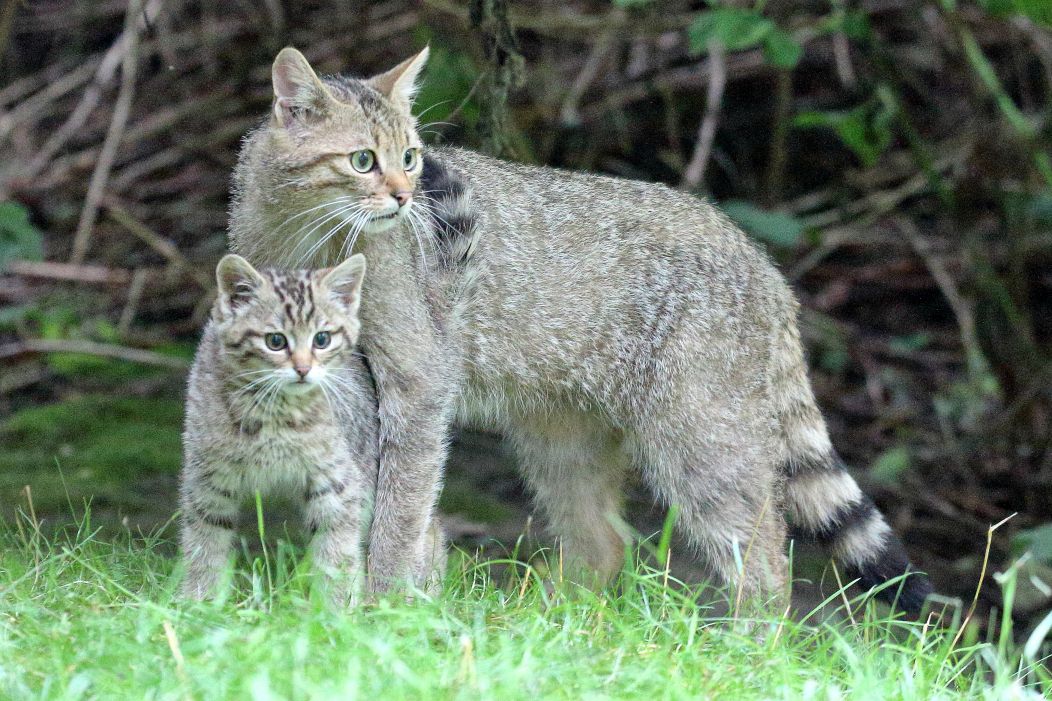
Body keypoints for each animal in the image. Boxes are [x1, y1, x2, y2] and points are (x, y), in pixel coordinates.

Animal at [180, 252, 443, 602]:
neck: (273, 411)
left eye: (322, 339)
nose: (303, 369)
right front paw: (197, 601)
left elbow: (337, 554)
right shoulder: (207, 481)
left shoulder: (337, 483)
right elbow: (203, 546)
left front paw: (336, 608)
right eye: (275, 341)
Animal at [228, 46, 929, 610]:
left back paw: (749, 652)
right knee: (603, 545)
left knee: (764, 562)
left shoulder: (418, 384)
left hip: (702, 438)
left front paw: (384, 604)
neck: (307, 237)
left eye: (411, 157)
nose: (405, 196)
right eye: (362, 161)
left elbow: (402, 506)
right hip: (562, 437)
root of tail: (763, 262)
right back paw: (535, 623)